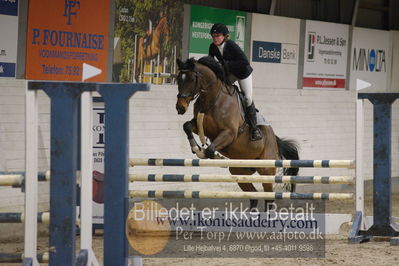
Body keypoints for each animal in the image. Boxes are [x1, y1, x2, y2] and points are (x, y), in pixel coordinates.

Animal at [175, 57, 300, 210]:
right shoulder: (202, 128)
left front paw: (215, 156)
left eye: (192, 79)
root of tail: (275, 140)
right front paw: (197, 149)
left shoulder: (229, 133)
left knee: (268, 197)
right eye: (178, 79)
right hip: (239, 171)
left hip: (266, 169)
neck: (213, 98)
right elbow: (187, 126)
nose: (180, 107)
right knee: (253, 196)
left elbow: (210, 150)